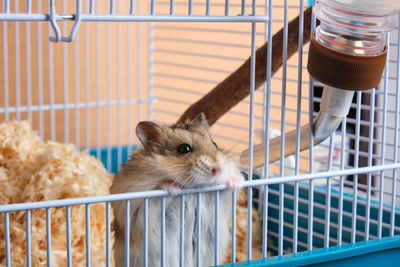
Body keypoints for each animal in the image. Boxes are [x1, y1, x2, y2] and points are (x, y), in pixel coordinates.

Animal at [110, 114, 244, 267]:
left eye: (215, 144)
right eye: (184, 148)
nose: (217, 170)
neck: (194, 188)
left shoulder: (221, 199)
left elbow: (227, 189)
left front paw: (236, 182)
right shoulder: (138, 204)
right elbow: (158, 189)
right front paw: (173, 187)